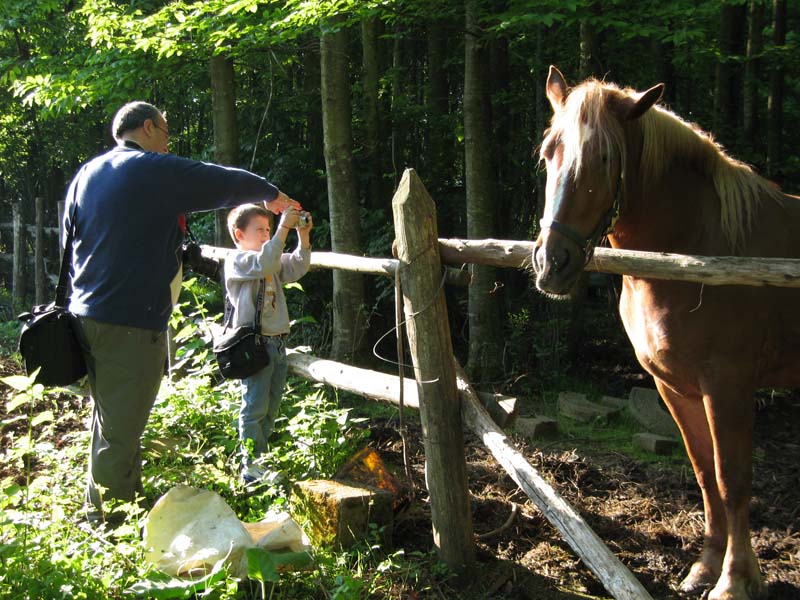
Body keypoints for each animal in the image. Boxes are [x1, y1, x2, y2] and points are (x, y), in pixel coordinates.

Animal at [532, 67, 800, 600]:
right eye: (548, 151)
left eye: (606, 158)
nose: (553, 263)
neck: (694, 250)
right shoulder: (674, 386)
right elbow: (704, 473)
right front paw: (704, 568)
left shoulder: (729, 386)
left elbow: (733, 478)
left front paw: (735, 580)